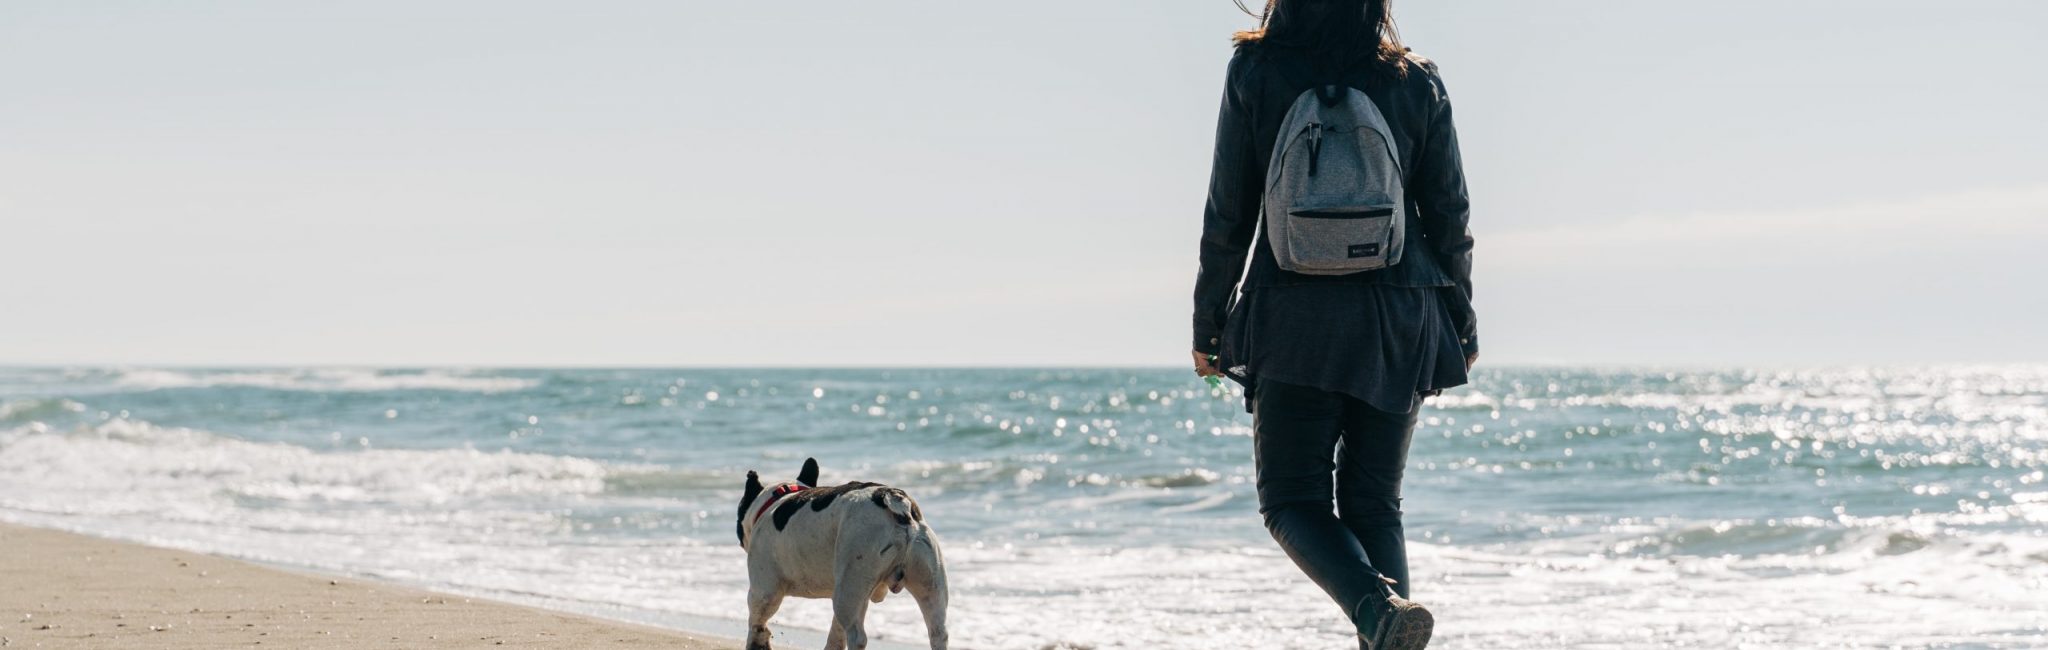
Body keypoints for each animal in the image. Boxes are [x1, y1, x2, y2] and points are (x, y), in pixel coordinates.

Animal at [737, 455, 950, 647]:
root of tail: (894, 500)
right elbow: (836, 632)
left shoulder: (763, 591)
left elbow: (756, 621)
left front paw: (758, 642)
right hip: (929, 584)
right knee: (938, 632)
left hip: (851, 581)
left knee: (857, 636)